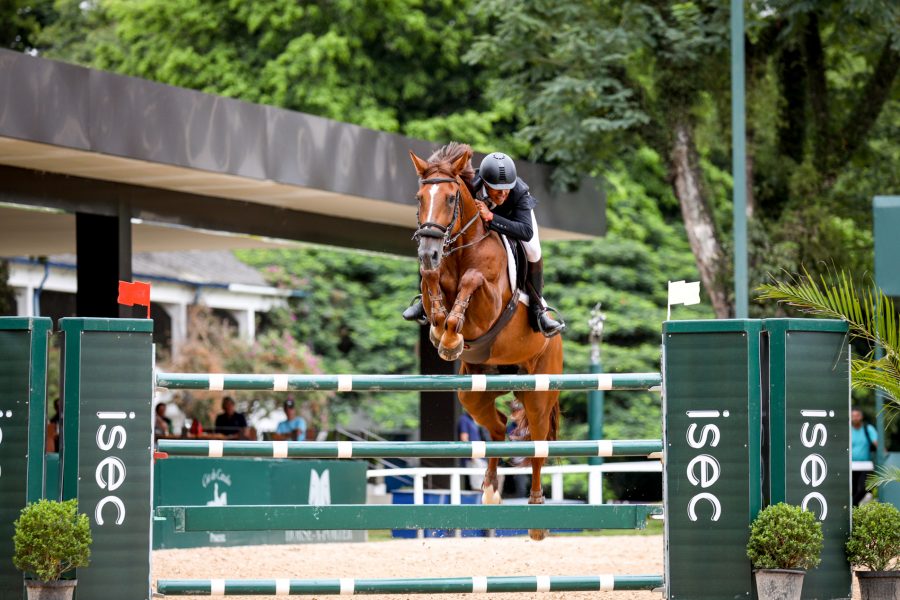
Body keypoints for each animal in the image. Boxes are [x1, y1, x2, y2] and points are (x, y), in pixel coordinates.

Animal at [410, 143, 564, 540]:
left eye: (451, 198)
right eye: (419, 198)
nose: (428, 251)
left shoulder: (490, 302)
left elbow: (471, 281)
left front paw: (449, 336)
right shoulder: (433, 274)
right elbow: (431, 285)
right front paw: (439, 330)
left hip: (538, 393)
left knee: (537, 444)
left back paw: (536, 513)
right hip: (475, 390)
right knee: (496, 427)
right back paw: (491, 490)